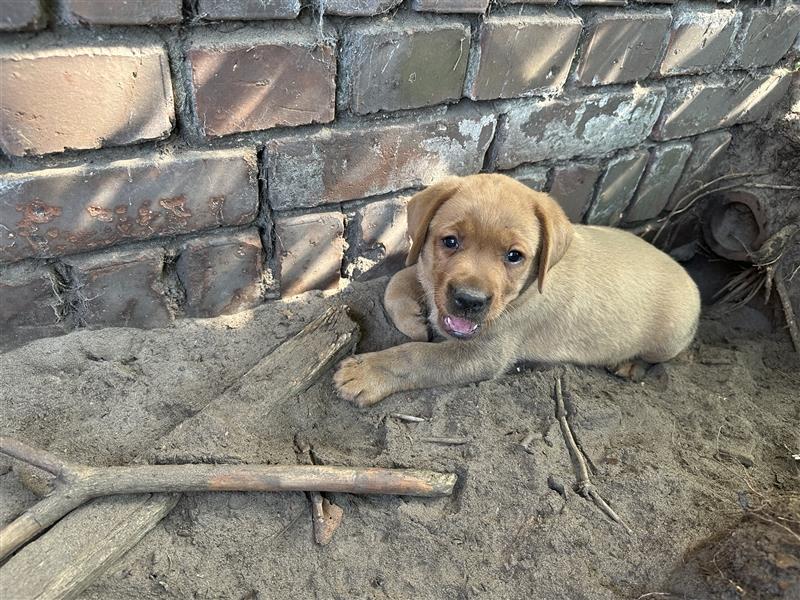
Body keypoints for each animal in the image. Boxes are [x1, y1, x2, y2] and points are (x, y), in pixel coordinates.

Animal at [334, 173, 696, 408]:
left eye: (514, 256)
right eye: (450, 241)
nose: (469, 301)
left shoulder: (482, 355)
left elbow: (419, 356)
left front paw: (367, 372)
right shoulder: (427, 274)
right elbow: (400, 279)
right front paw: (413, 320)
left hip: (668, 338)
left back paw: (632, 365)